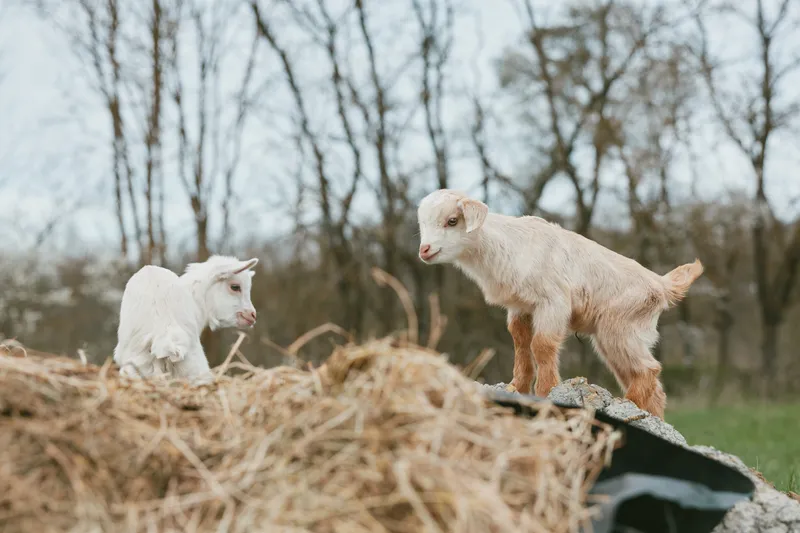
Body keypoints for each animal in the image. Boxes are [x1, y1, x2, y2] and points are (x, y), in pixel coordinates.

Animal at [416, 189, 703, 419]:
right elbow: (520, 341)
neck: (507, 246)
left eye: (452, 220)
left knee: (648, 369)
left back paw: (626, 406)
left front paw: (546, 392)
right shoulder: (520, 306)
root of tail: (662, 285)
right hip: (616, 338)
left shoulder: (553, 302)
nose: (425, 250)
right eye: (422, 224)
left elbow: (542, 345)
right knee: (651, 384)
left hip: (621, 329)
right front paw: (517, 387)